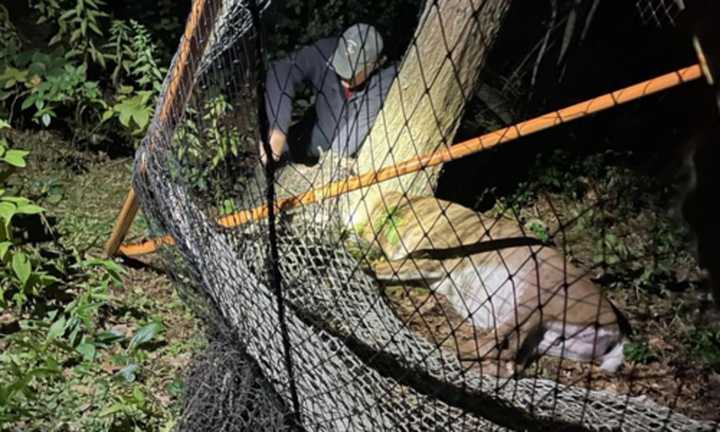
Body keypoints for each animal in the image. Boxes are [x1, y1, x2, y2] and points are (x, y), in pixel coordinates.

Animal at [358, 193, 628, 374]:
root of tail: (616, 333)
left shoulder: (430, 260)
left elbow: (374, 266)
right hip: (549, 340)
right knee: (512, 361)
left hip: (537, 297)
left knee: (493, 347)